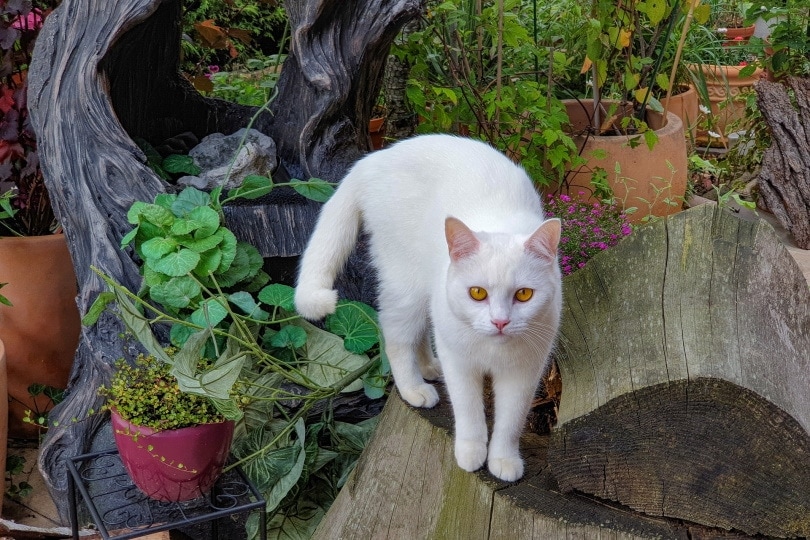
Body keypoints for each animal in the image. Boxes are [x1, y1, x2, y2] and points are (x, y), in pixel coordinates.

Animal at [292, 135, 560, 480]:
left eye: (524, 295)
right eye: (477, 293)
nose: (500, 322)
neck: (492, 350)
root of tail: (375, 158)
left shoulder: (523, 373)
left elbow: (510, 422)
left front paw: (503, 459)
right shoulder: (460, 363)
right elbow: (469, 411)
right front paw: (471, 452)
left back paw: (430, 367)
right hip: (406, 287)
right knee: (396, 339)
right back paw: (413, 388)